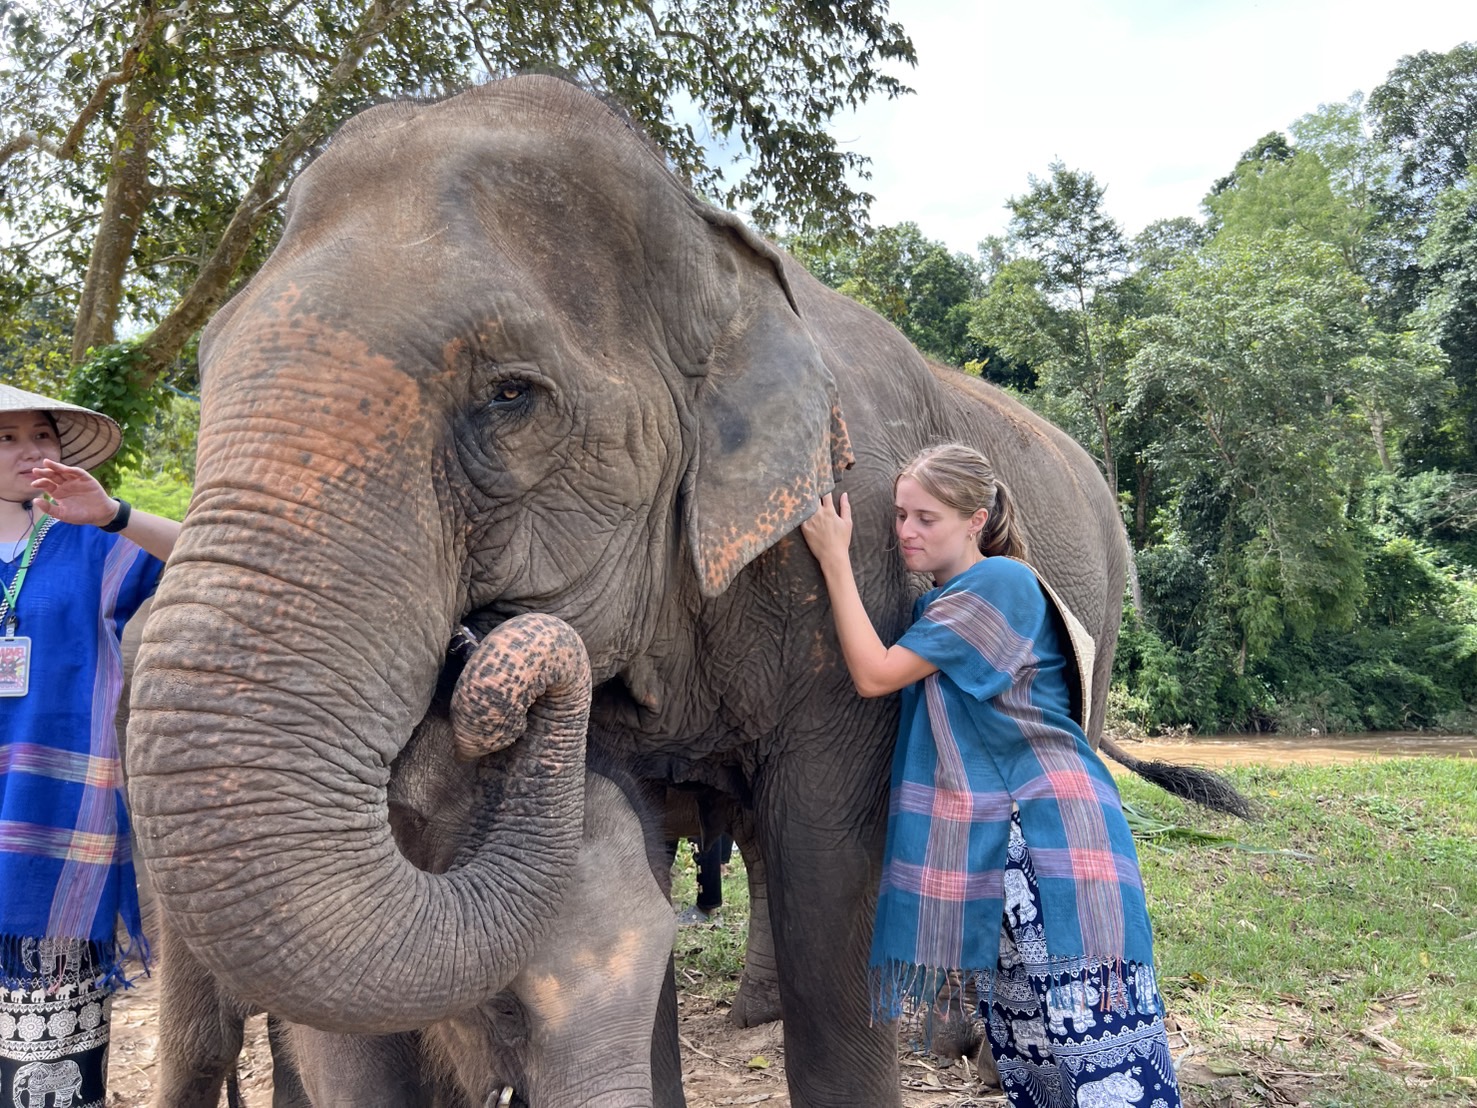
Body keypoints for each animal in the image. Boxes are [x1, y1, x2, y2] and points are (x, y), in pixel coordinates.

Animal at [125, 74, 1236, 1107]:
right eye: (205, 364)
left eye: (510, 396)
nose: (480, 659)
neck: (713, 247)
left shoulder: (865, 583)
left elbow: (830, 878)